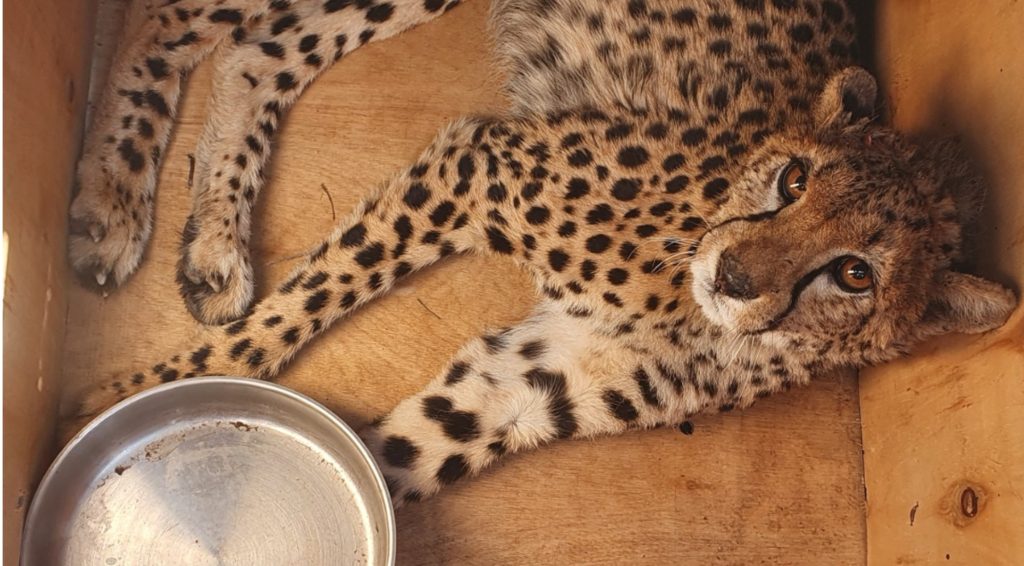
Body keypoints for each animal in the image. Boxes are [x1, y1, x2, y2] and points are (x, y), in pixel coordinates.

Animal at [74, 0, 1015, 511]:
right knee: (179, 18)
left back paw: (214, 246)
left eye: (856, 272)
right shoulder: (487, 165)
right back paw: (112, 199)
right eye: (795, 179)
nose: (735, 275)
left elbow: (402, 451)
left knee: (255, 49)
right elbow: (301, 307)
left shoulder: (524, 384)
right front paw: (123, 400)